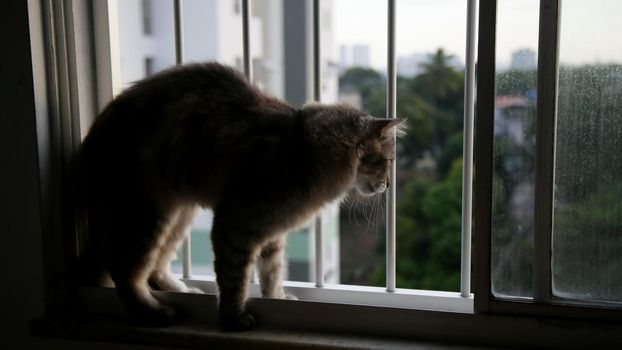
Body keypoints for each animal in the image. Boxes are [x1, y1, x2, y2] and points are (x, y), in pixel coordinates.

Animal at [78, 60, 408, 330]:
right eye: (389, 162)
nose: (389, 185)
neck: (301, 149)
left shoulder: (272, 234)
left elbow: (272, 273)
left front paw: (278, 298)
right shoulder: (235, 224)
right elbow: (235, 278)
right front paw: (233, 318)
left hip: (179, 214)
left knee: (155, 268)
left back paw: (182, 290)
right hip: (150, 214)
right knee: (126, 272)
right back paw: (154, 312)